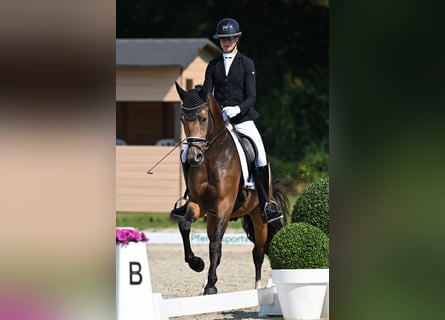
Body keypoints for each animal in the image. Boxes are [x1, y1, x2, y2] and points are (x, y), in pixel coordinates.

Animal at [172, 82, 290, 296]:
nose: (194, 158)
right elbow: (185, 226)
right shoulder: (198, 205)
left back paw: (258, 288)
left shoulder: (224, 206)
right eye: (182, 119)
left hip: (258, 216)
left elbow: (215, 244)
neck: (211, 158)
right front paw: (197, 264)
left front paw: (211, 285)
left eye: (203, 118)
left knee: (258, 251)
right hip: (212, 216)